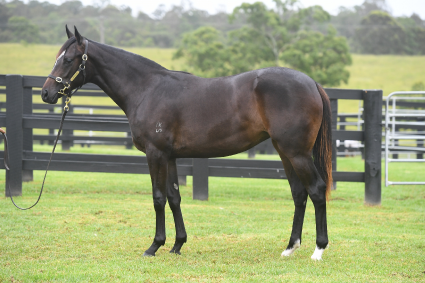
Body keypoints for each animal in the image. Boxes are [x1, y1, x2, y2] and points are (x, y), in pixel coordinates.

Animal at [40, 27, 332, 262]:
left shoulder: (155, 154)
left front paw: (154, 246)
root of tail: (311, 82)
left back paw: (318, 250)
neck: (147, 89)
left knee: (317, 190)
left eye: (68, 60)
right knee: (299, 194)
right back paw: (290, 248)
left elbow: (158, 198)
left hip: (297, 153)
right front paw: (177, 245)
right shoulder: (170, 157)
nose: (46, 93)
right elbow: (174, 197)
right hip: (286, 153)